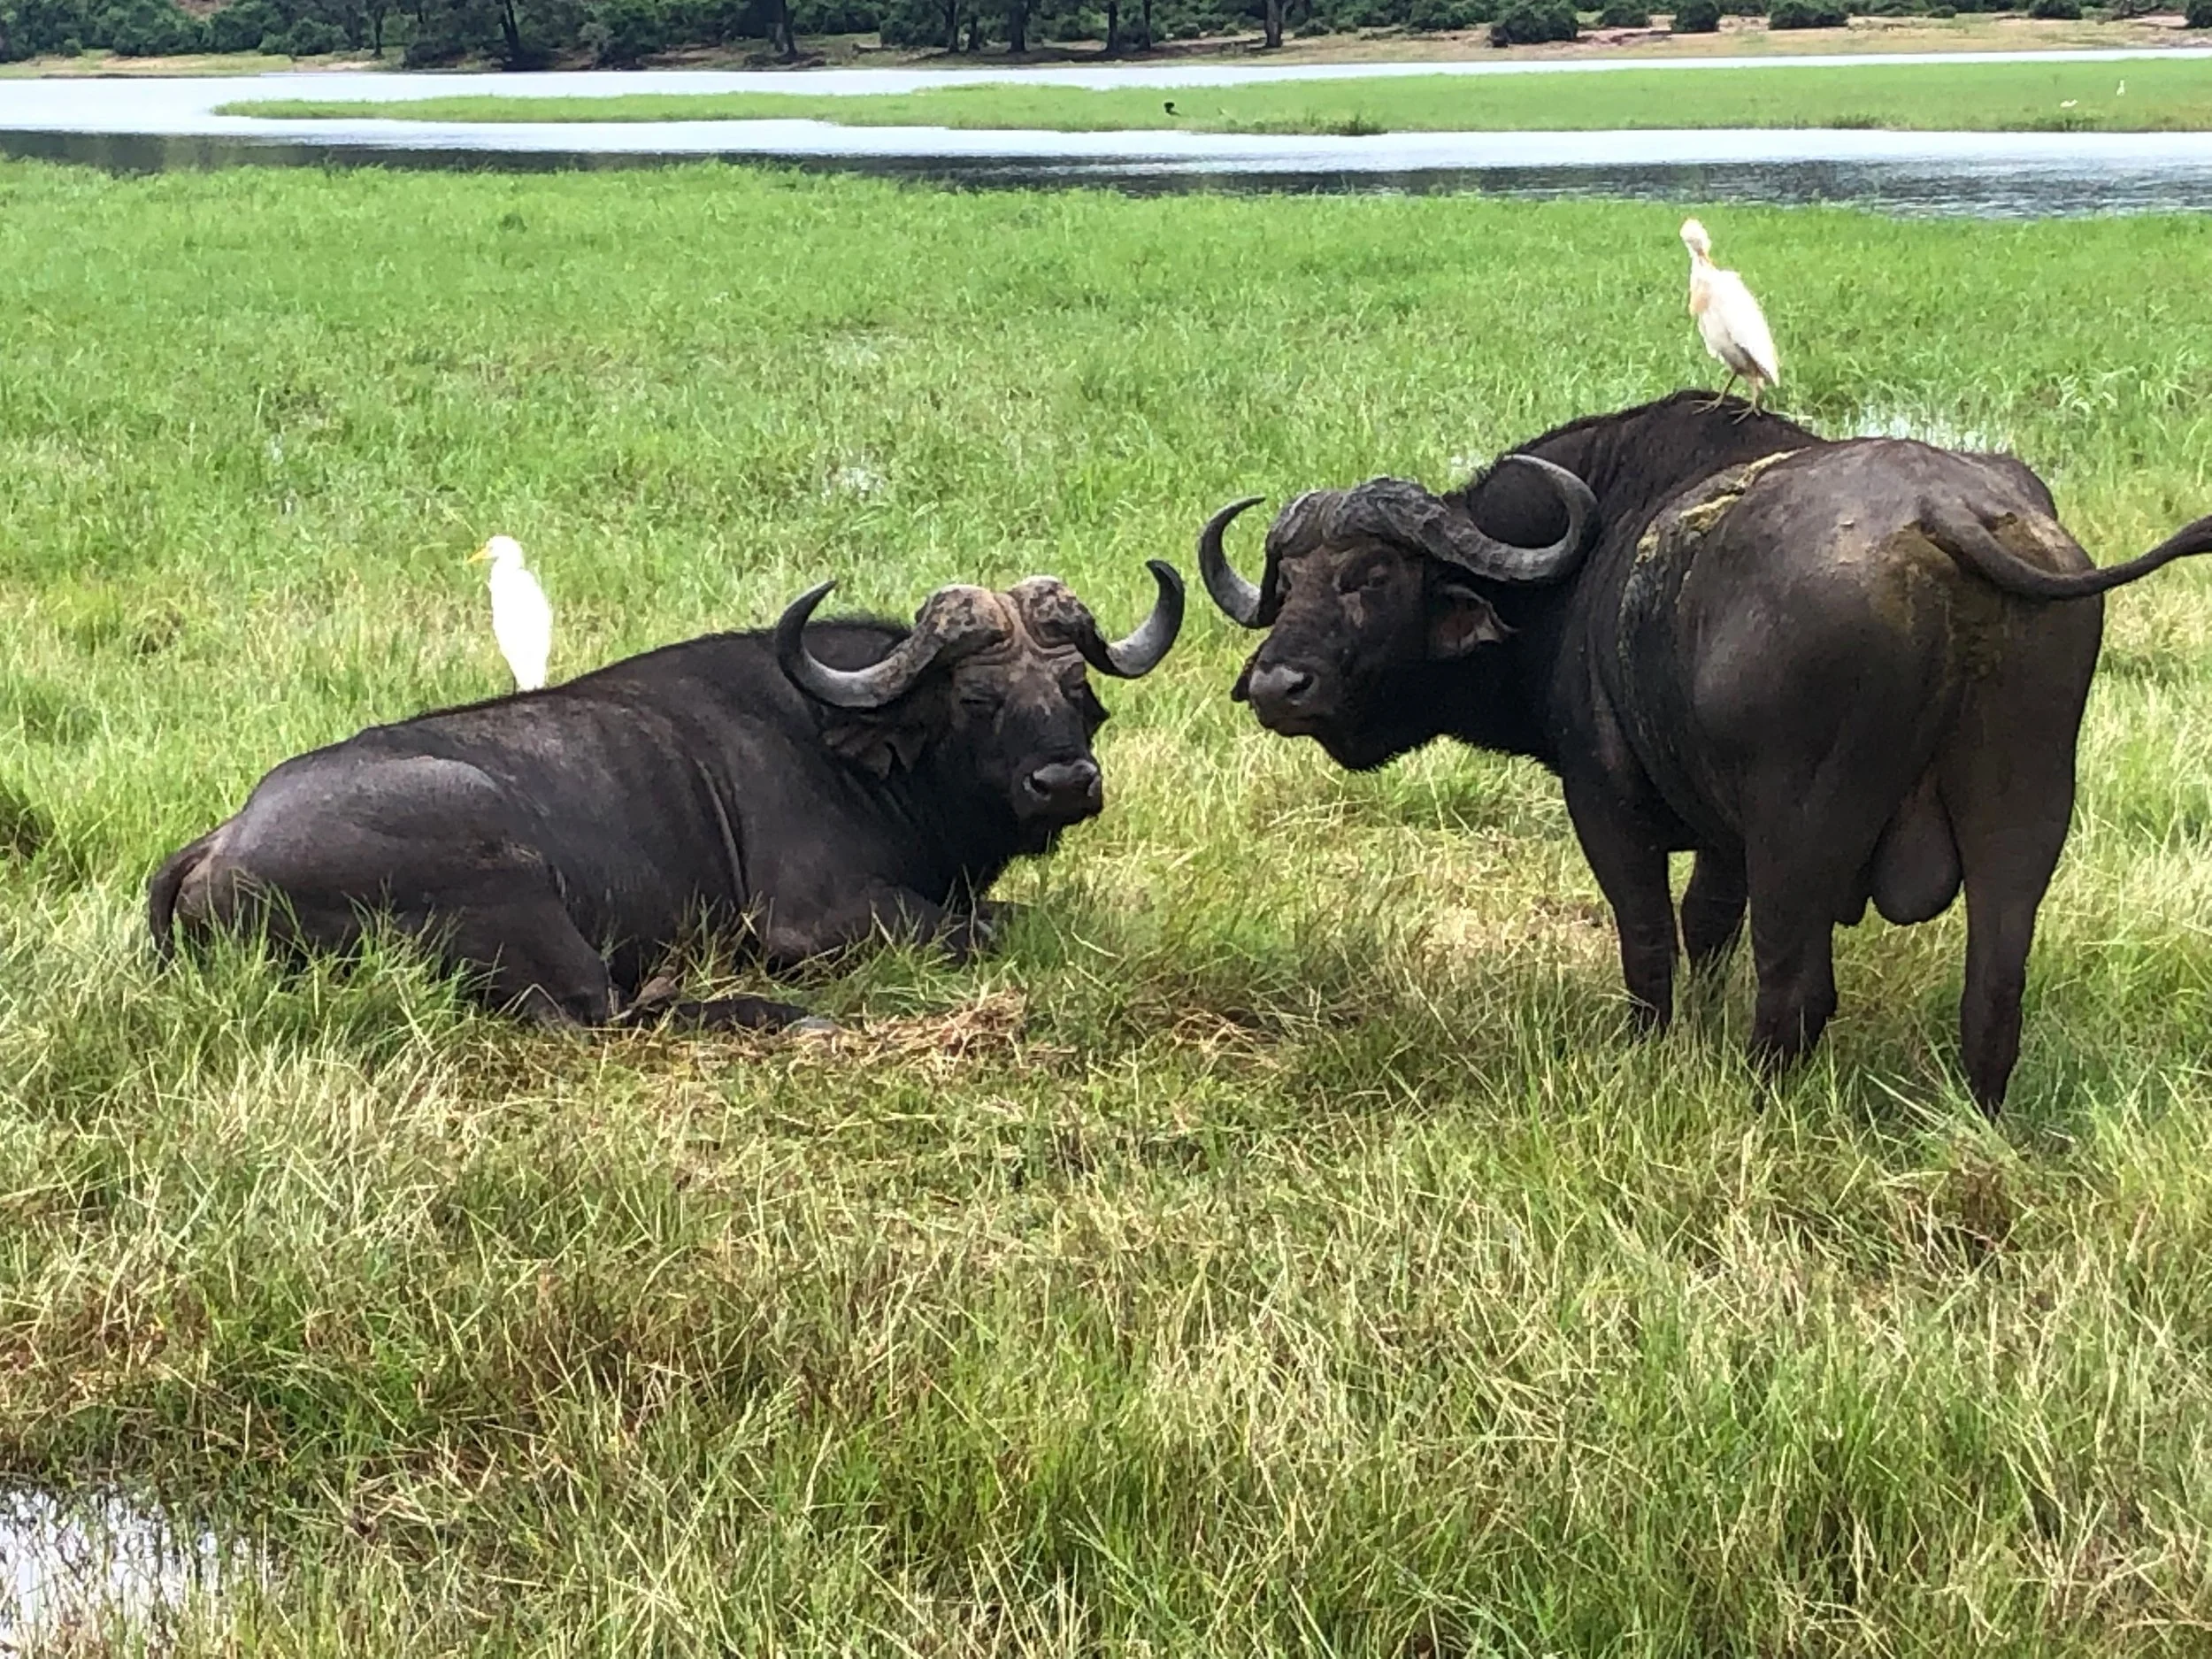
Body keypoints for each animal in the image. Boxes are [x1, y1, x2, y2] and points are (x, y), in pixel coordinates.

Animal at [149, 563, 1185, 1030]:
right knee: (600, 1013)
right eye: (977, 699)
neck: (858, 750)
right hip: (505, 879)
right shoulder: (816, 920)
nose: (1065, 781)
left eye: (1077, 692)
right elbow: (992, 927)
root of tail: (218, 845)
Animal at [1198, 390, 2212, 1112]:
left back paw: (1759, 1099)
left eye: (1370, 576)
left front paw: (1647, 1044)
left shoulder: (1607, 807)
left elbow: (1649, 936)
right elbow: (1707, 926)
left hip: (1804, 830)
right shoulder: (1725, 842)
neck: (1584, 568)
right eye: (1287, 578)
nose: (1276, 684)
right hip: (2026, 806)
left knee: (1796, 988)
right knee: (1993, 988)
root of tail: (1943, 513)